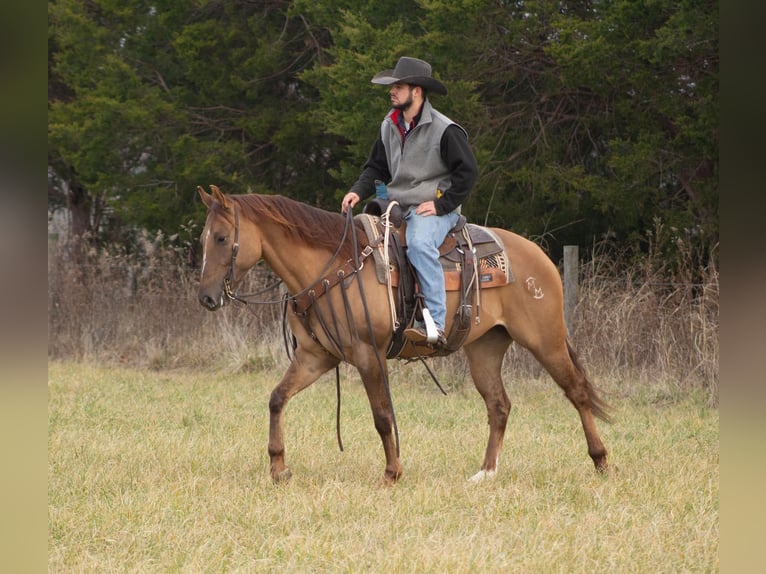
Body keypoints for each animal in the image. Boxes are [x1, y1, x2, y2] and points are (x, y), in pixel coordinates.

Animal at [196, 184, 612, 486]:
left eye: (221, 238)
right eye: (204, 238)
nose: (206, 297)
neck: (333, 267)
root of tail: (539, 256)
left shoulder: (369, 354)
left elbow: (382, 416)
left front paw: (392, 473)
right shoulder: (316, 357)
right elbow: (277, 399)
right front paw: (279, 468)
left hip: (546, 340)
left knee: (576, 392)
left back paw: (601, 461)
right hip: (485, 348)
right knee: (499, 405)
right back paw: (486, 473)